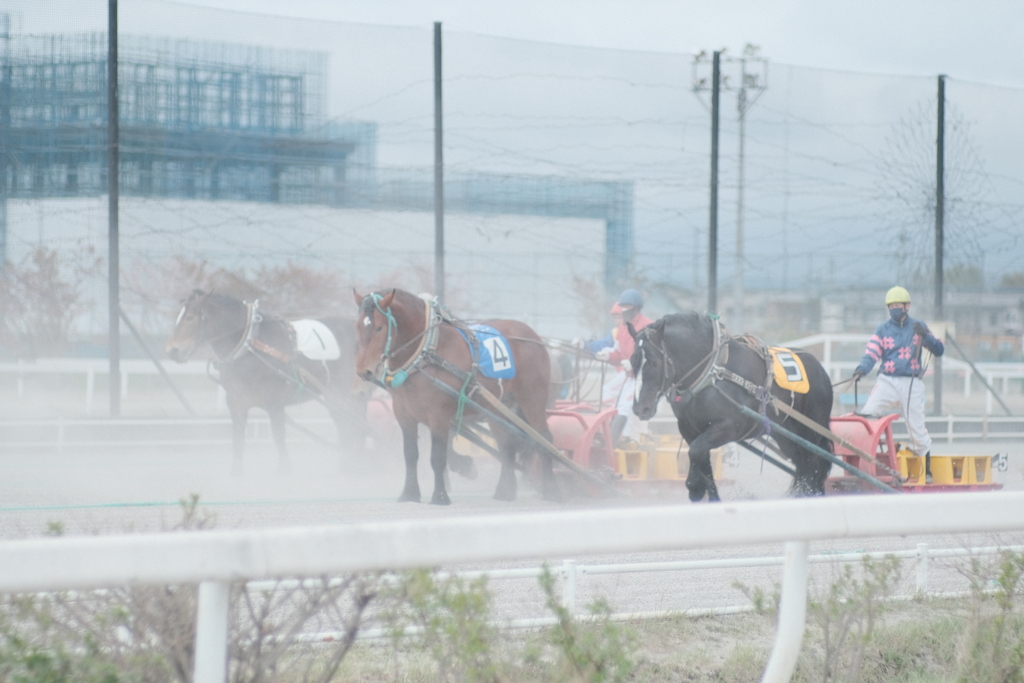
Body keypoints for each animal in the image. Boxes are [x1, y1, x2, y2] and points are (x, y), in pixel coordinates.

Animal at [165, 290, 366, 473]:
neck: (251, 346)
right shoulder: (236, 403)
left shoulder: (275, 403)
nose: (172, 351)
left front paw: (285, 469)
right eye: (178, 317)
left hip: (350, 396)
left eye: (190, 317)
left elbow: (279, 437)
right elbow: (238, 440)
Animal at [353, 288, 558, 505]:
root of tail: (532, 336)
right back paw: (505, 491)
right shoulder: (404, 414)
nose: (363, 371)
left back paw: (551, 491)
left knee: (544, 439)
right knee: (506, 444)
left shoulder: (439, 416)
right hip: (496, 408)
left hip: (533, 399)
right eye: (357, 326)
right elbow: (410, 455)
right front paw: (410, 493)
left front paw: (440, 496)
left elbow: (438, 457)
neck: (426, 355)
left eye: (379, 328)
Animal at [629, 312, 834, 501]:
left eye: (653, 362)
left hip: (811, 432)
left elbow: (695, 451)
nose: (640, 408)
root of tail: (820, 369)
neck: (713, 373)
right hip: (786, 436)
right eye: (632, 361)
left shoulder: (728, 428)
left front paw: (695, 486)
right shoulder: (689, 428)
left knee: (814, 465)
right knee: (804, 465)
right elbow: (702, 459)